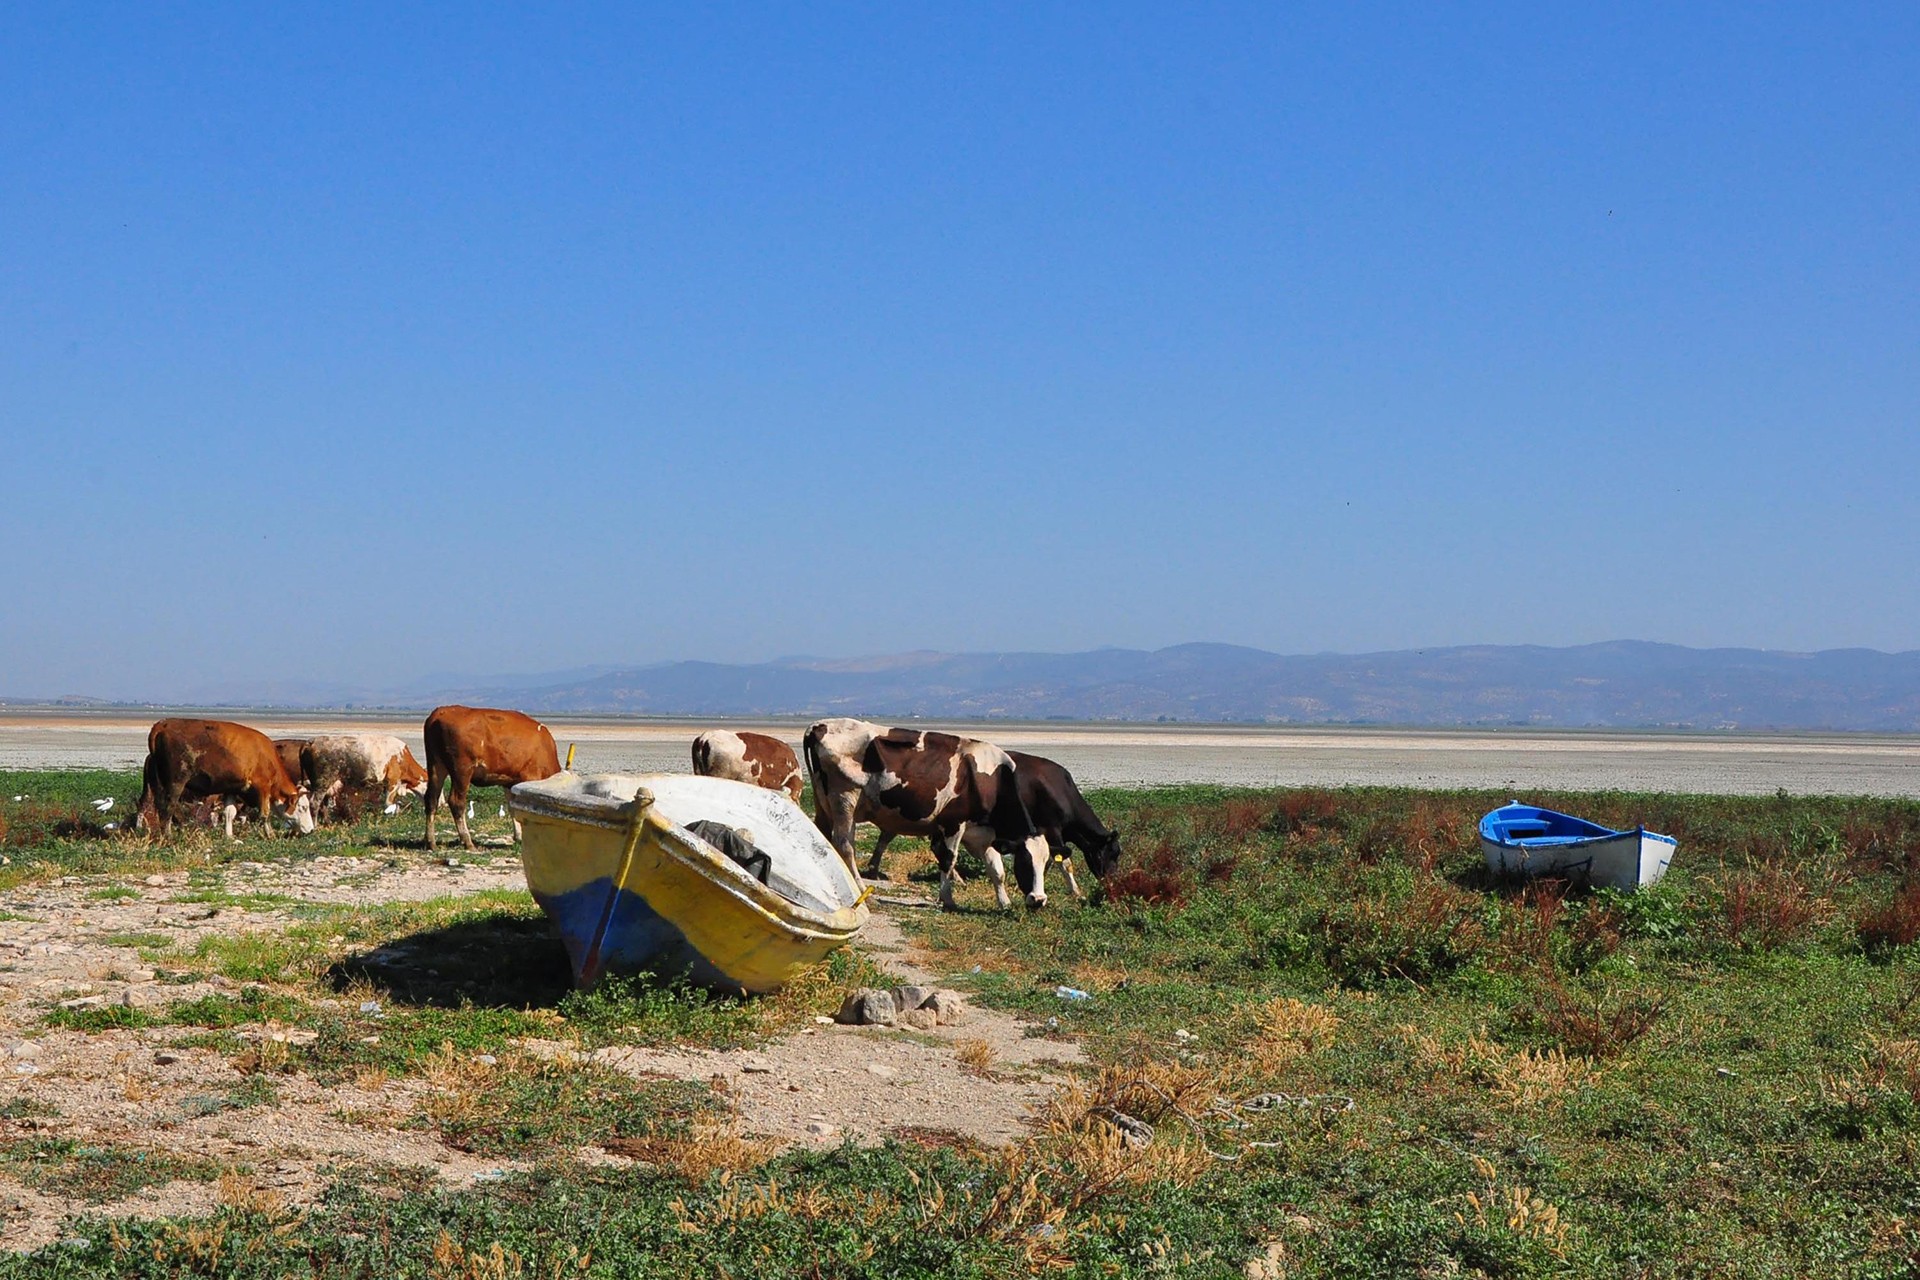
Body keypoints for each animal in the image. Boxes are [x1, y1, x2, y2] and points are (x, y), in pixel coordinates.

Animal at [137, 721, 314, 840]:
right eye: (303, 807)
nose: (311, 829)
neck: (266, 757)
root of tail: (162, 725)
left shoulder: (232, 788)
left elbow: (230, 812)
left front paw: (229, 835)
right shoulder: (263, 787)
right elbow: (264, 813)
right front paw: (269, 834)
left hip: (157, 783)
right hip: (176, 781)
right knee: (168, 806)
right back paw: (168, 835)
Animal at [299, 736, 432, 825]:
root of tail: (312, 742)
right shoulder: (393, 781)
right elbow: (388, 803)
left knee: (323, 804)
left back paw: (327, 823)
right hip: (322, 781)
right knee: (315, 803)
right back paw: (315, 825)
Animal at [422, 710, 560, 852]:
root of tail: (441, 712)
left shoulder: (510, 782)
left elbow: (513, 807)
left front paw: (519, 836)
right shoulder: (530, 777)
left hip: (436, 766)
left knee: (431, 799)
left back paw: (431, 842)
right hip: (462, 770)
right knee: (456, 802)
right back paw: (468, 841)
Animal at [806, 721, 1059, 909]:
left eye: (1046, 863)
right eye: (1025, 862)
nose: (1038, 900)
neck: (992, 781)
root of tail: (820, 725)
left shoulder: (983, 833)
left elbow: (996, 870)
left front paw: (1004, 902)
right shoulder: (953, 824)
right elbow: (948, 859)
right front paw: (947, 899)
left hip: (824, 805)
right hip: (844, 800)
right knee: (845, 844)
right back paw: (859, 886)